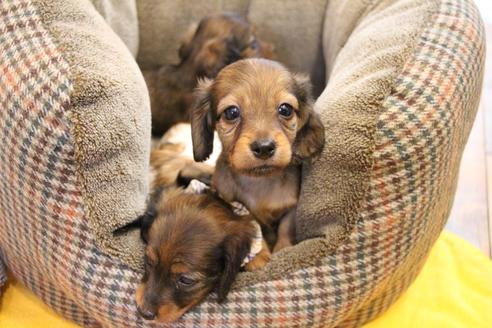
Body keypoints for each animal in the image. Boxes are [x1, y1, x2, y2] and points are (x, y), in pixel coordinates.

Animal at [190, 58, 324, 251]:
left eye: (285, 109)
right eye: (231, 112)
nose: (264, 148)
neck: (260, 181)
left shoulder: (291, 208)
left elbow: (286, 228)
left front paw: (282, 249)